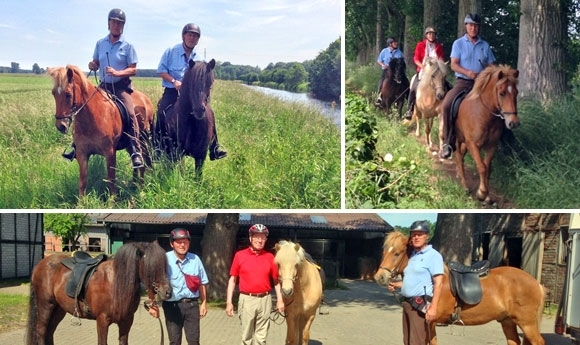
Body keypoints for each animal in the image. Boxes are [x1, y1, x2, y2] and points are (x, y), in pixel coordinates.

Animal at [26, 241, 172, 344]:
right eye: (150, 266)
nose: (168, 292)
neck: (115, 284)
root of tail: (41, 264)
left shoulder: (126, 321)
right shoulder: (102, 320)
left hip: (59, 309)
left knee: (50, 332)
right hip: (46, 305)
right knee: (41, 331)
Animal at [47, 65, 155, 198]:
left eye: (68, 94)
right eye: (53, 93)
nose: (61, 126)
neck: (92, 118)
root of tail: (146, 100)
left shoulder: (110, 153)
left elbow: (111, 179)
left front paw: (112, 201)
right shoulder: (82, 153)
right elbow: (82, 181)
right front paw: (81, 202)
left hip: (142, 140)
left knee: (144, 162)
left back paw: (142, 189)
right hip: (130, 145)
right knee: (136, 163)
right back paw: (134, 185)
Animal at [374, 230, 548, 345]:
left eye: (397, 253)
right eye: (384, 251)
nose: (379, 277)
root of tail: (536, 283)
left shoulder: (430, 322)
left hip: (527, 324)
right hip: (508, 321)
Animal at [456, 64, 520, 203]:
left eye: (516, 93)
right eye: (501, 93)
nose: (513, 123)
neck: (484, 115)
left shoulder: (491, 146)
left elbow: (488, 168)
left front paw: (487, 195)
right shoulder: (473, 144)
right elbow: (482, 167)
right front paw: (481, 193)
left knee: (461, 156)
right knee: (458, 156)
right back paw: (464, 185)